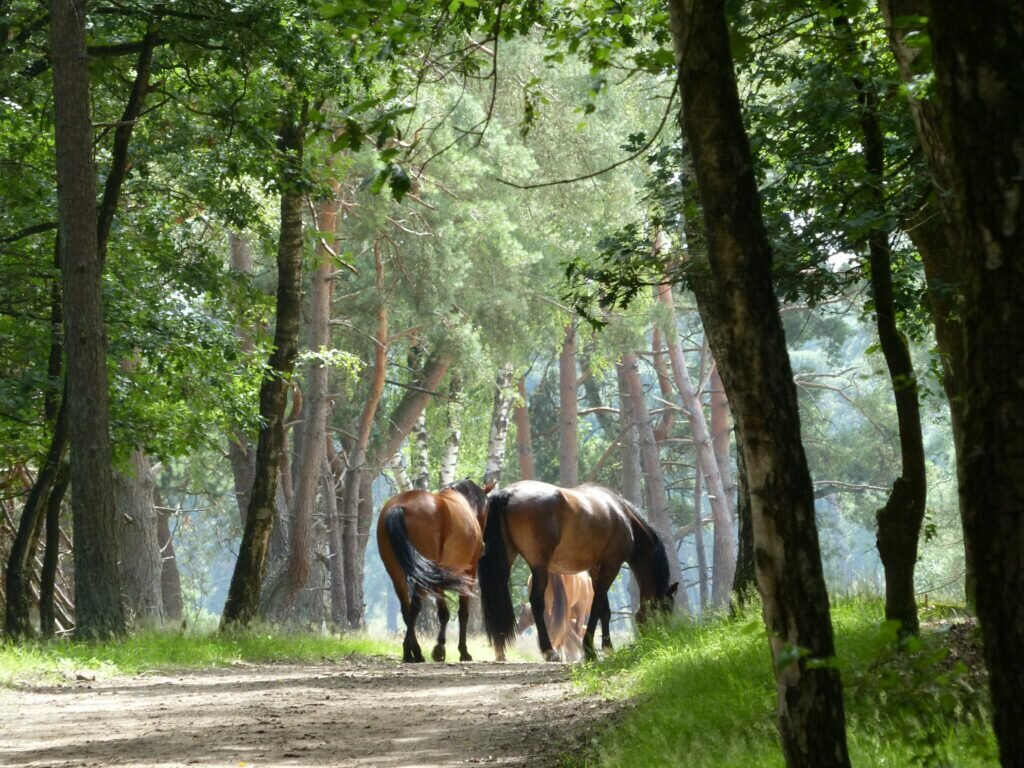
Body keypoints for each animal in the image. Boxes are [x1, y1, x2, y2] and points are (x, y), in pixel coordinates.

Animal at [374, 479, 493, 663]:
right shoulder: (469, 572)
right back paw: (411, 651)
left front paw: (440, 648)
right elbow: (463, 613)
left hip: (397, 572)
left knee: (406, 609)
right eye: (487, 508)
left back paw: (412, 652)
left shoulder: (438, 575)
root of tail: (401, 505)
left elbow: (443, 613)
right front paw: (463, 651)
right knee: (415, 606)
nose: (484, 547)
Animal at [477, 481, 675, 663]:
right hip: (540, 567)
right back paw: (549, 651)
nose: (663, 638)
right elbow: (597, 607)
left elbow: (605, 610)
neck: (622, 514)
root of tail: (509, 493)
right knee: (537, 603)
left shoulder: (595, 570)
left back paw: (500, 651)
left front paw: (607, 648)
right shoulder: (611, 567)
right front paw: (589, 650)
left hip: (506, 561)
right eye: (667, 608)